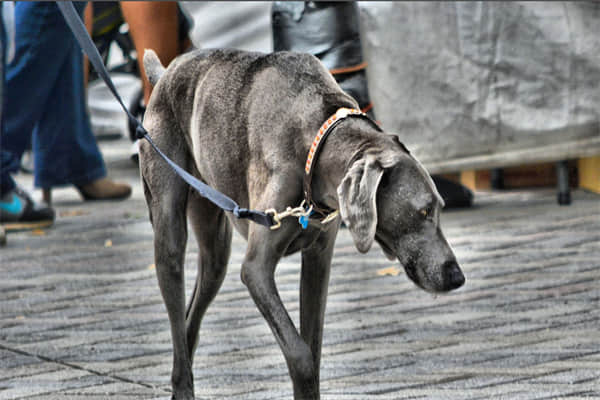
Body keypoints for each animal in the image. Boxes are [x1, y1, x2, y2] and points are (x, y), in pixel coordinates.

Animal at [139, 48, 464, 398]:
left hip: (215, 250)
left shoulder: (319, 260)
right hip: (168, 222)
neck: (317, 140)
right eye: (424, 211)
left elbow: (314, 346)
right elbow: (300, 353)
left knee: (192, 318)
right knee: (175, 304)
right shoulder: (256, 269)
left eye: (439, 208)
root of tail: (166, 73)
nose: (457, 276)